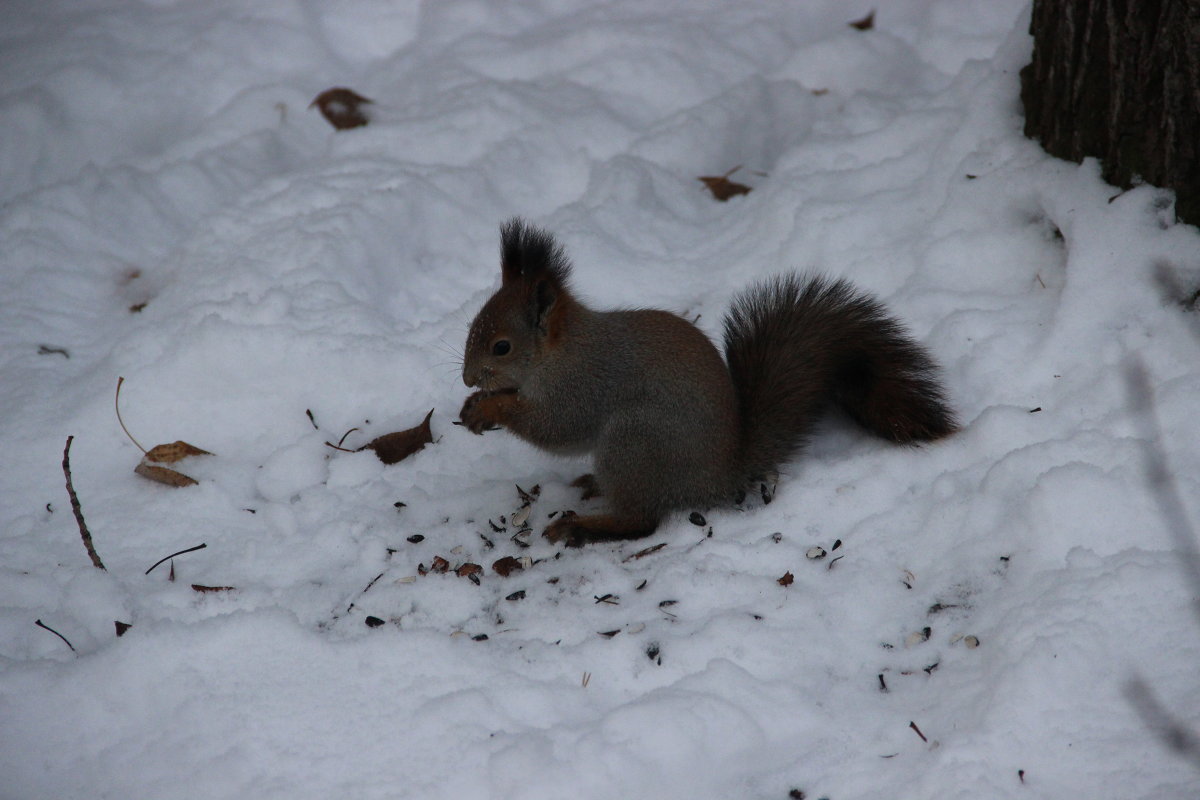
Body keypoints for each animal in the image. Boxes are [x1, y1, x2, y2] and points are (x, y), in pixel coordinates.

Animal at [458, 217, 955, 544]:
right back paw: (592, 486)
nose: (466, 378)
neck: (559, 354)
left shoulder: (584, 385)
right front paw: (475, 406)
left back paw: (584, 524)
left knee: (642, 520)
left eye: (501, 346)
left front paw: (490, 406)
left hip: (634, 442)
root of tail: (722, 474)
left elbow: (556, 428)